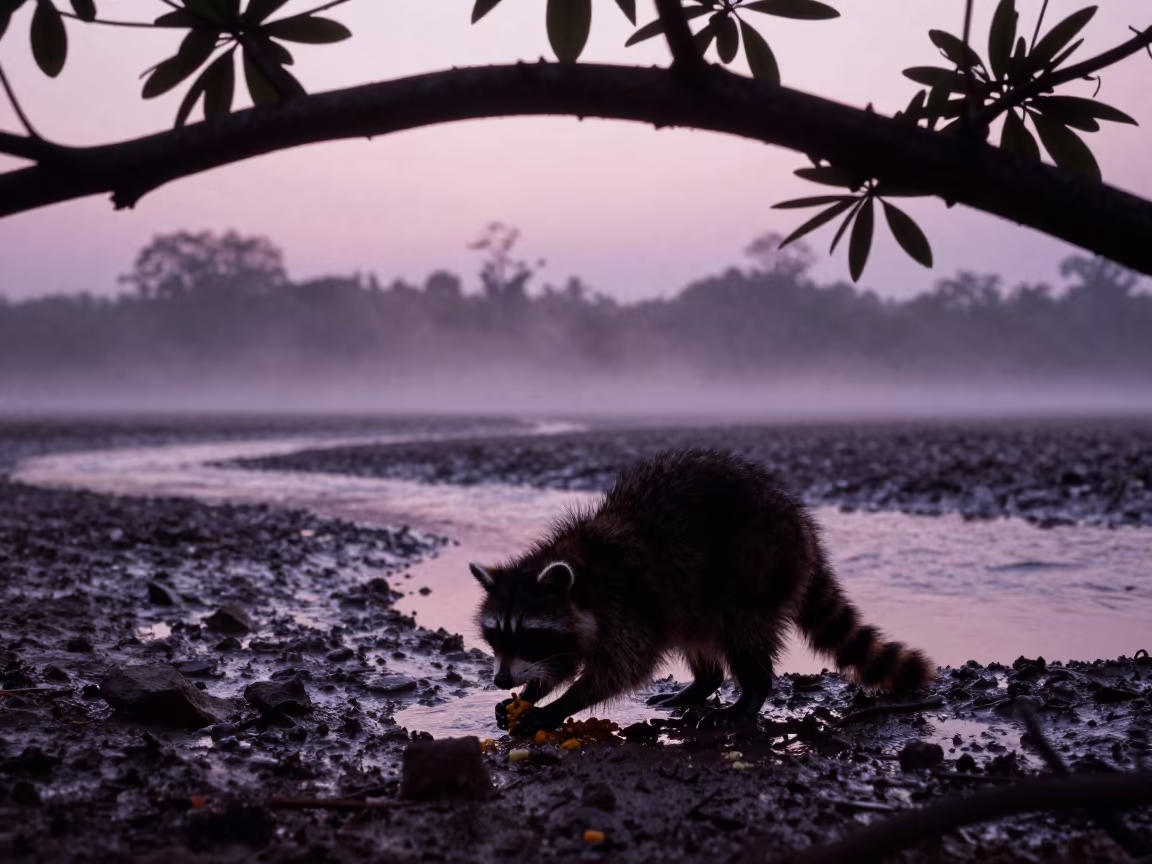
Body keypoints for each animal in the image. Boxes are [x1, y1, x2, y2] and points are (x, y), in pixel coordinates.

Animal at [471, 448, 932, 733]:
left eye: (528, 635)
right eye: (496, 636)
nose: (501, 679)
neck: (578, 571)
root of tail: (804, 529)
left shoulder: (625, 605)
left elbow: (622, 669)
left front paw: (558, 706)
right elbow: (562, 661)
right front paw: (532, 690)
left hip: (754, 571)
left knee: (744, 633)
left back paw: (750, 694)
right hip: (695, 597)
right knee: (696, 633)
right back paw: (703, 683)